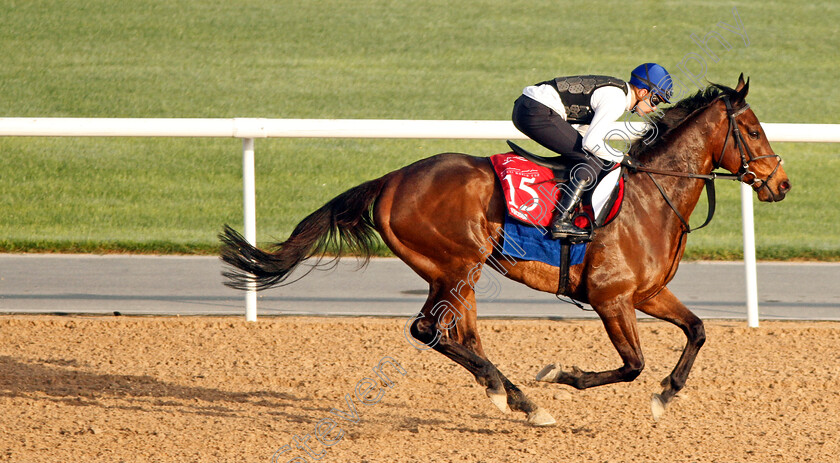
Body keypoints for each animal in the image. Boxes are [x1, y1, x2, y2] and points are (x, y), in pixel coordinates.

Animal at [217, 77, 788, 428]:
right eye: (753, 129)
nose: (781, 184)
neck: (653, 195)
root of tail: (392, 180)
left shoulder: (647, 293)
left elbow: (697, 329)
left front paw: (666, 395)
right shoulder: (610, 299)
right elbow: (632, 364)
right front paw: (563, 375)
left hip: (456, 272)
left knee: (458, 334)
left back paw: (516, 398)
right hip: (454, 265)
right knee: (426, 330)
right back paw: (519, 395)